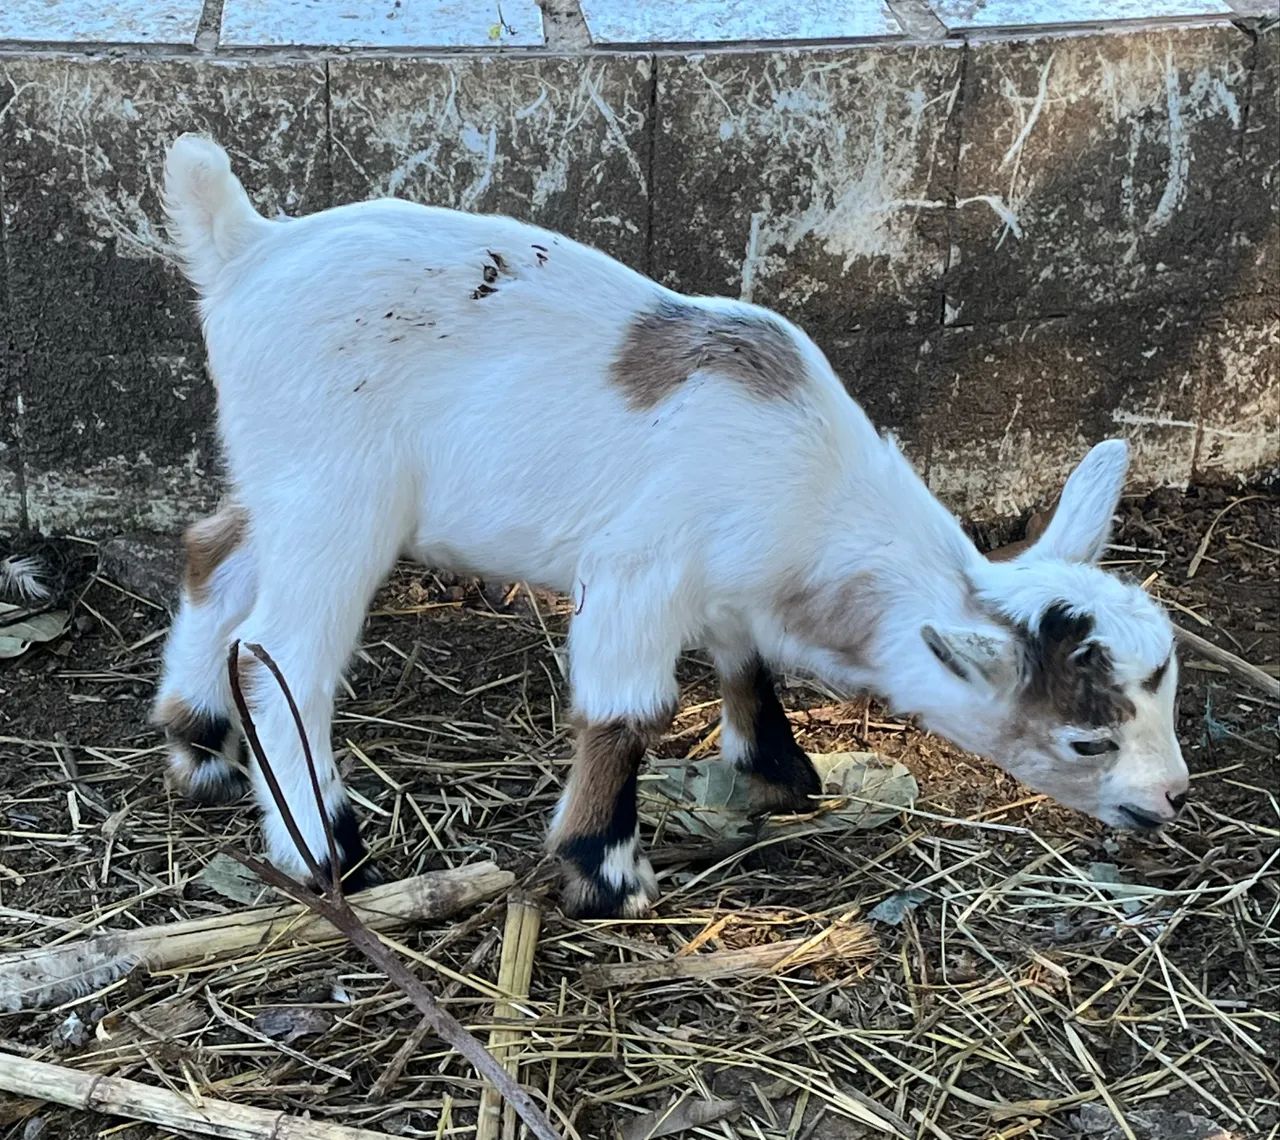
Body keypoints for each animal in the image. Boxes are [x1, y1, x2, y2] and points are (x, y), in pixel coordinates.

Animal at [153, 135, 1188, 918]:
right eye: (1086, 741)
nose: (1169, 798)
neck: (812, 485)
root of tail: (246, 246)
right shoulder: (638, 572)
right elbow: (626, 713)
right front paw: (604, 871)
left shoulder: (728, 580)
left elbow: (745, 661)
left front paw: (778, 770)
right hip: (339, 495)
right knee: (282, 652)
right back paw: (321, 843)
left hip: (280, 472)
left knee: (212, 552)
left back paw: (197, 743)